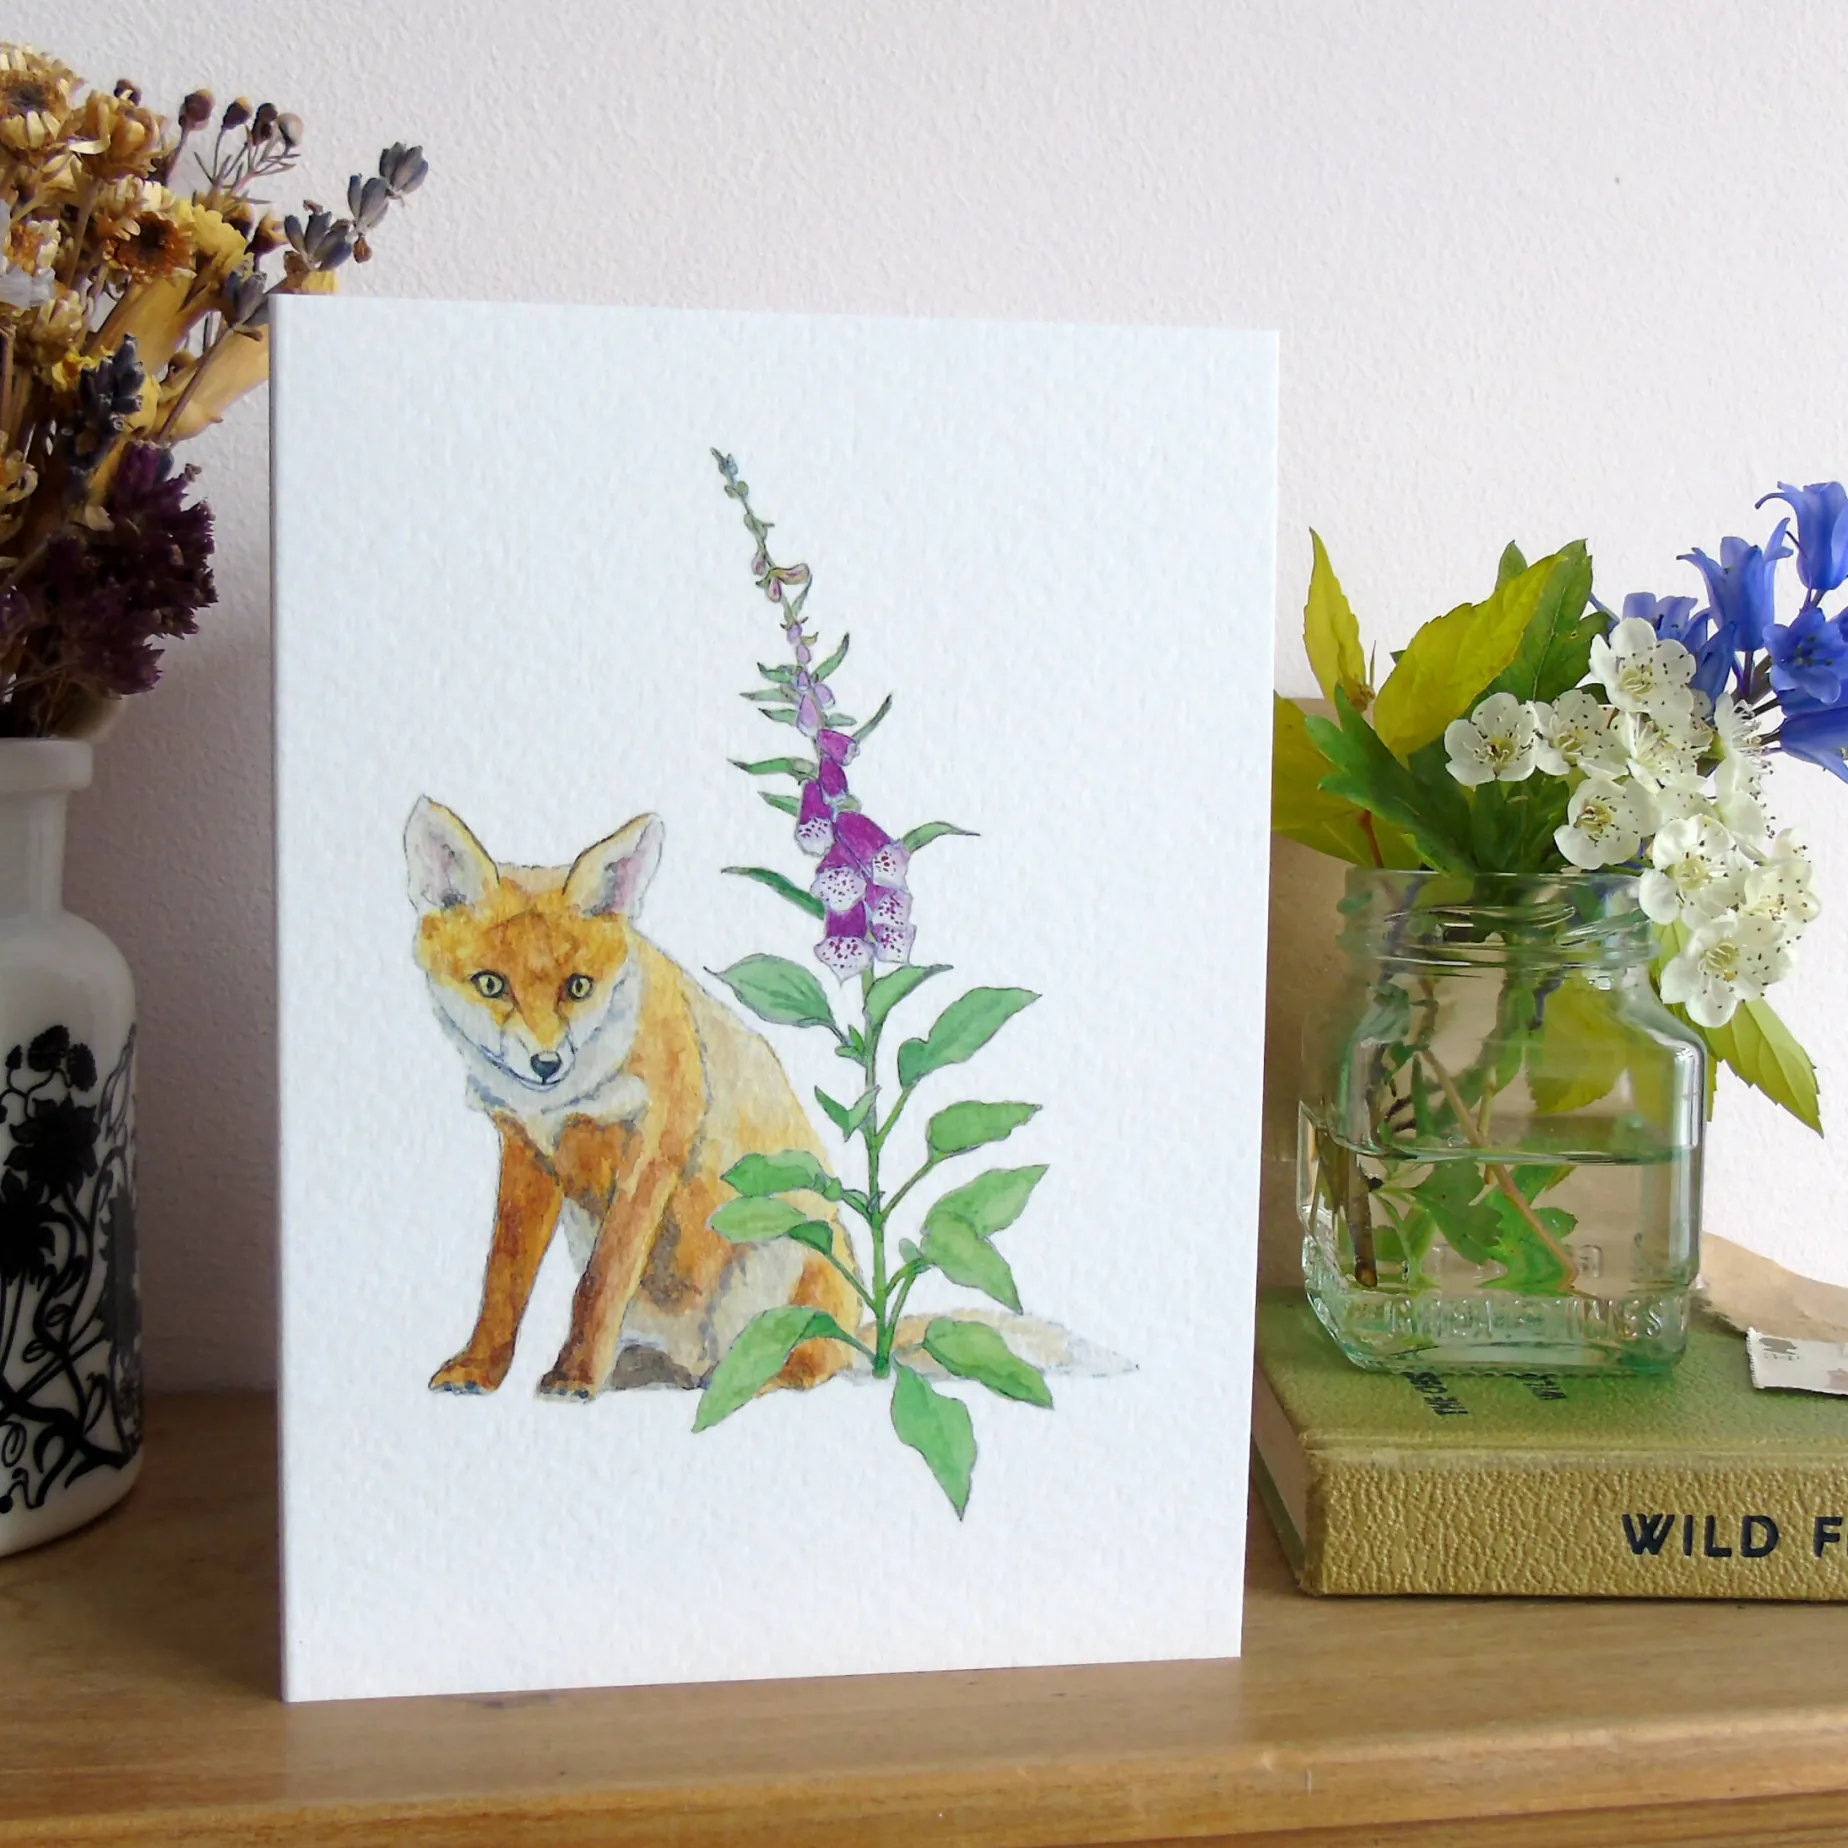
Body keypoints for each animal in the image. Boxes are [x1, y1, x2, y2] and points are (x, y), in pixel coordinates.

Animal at [403, 798, 862, 1402]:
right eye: (491, 985)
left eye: (578, 987)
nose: (546, 1064)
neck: (567, 1101)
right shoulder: (527, 1153)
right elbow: (504, 1278)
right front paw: (481, 1367)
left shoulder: (656, 1143)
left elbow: (601, 1282)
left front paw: (574, 1376)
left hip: (783, 1249)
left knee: (806, 1358)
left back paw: (747, 1381)